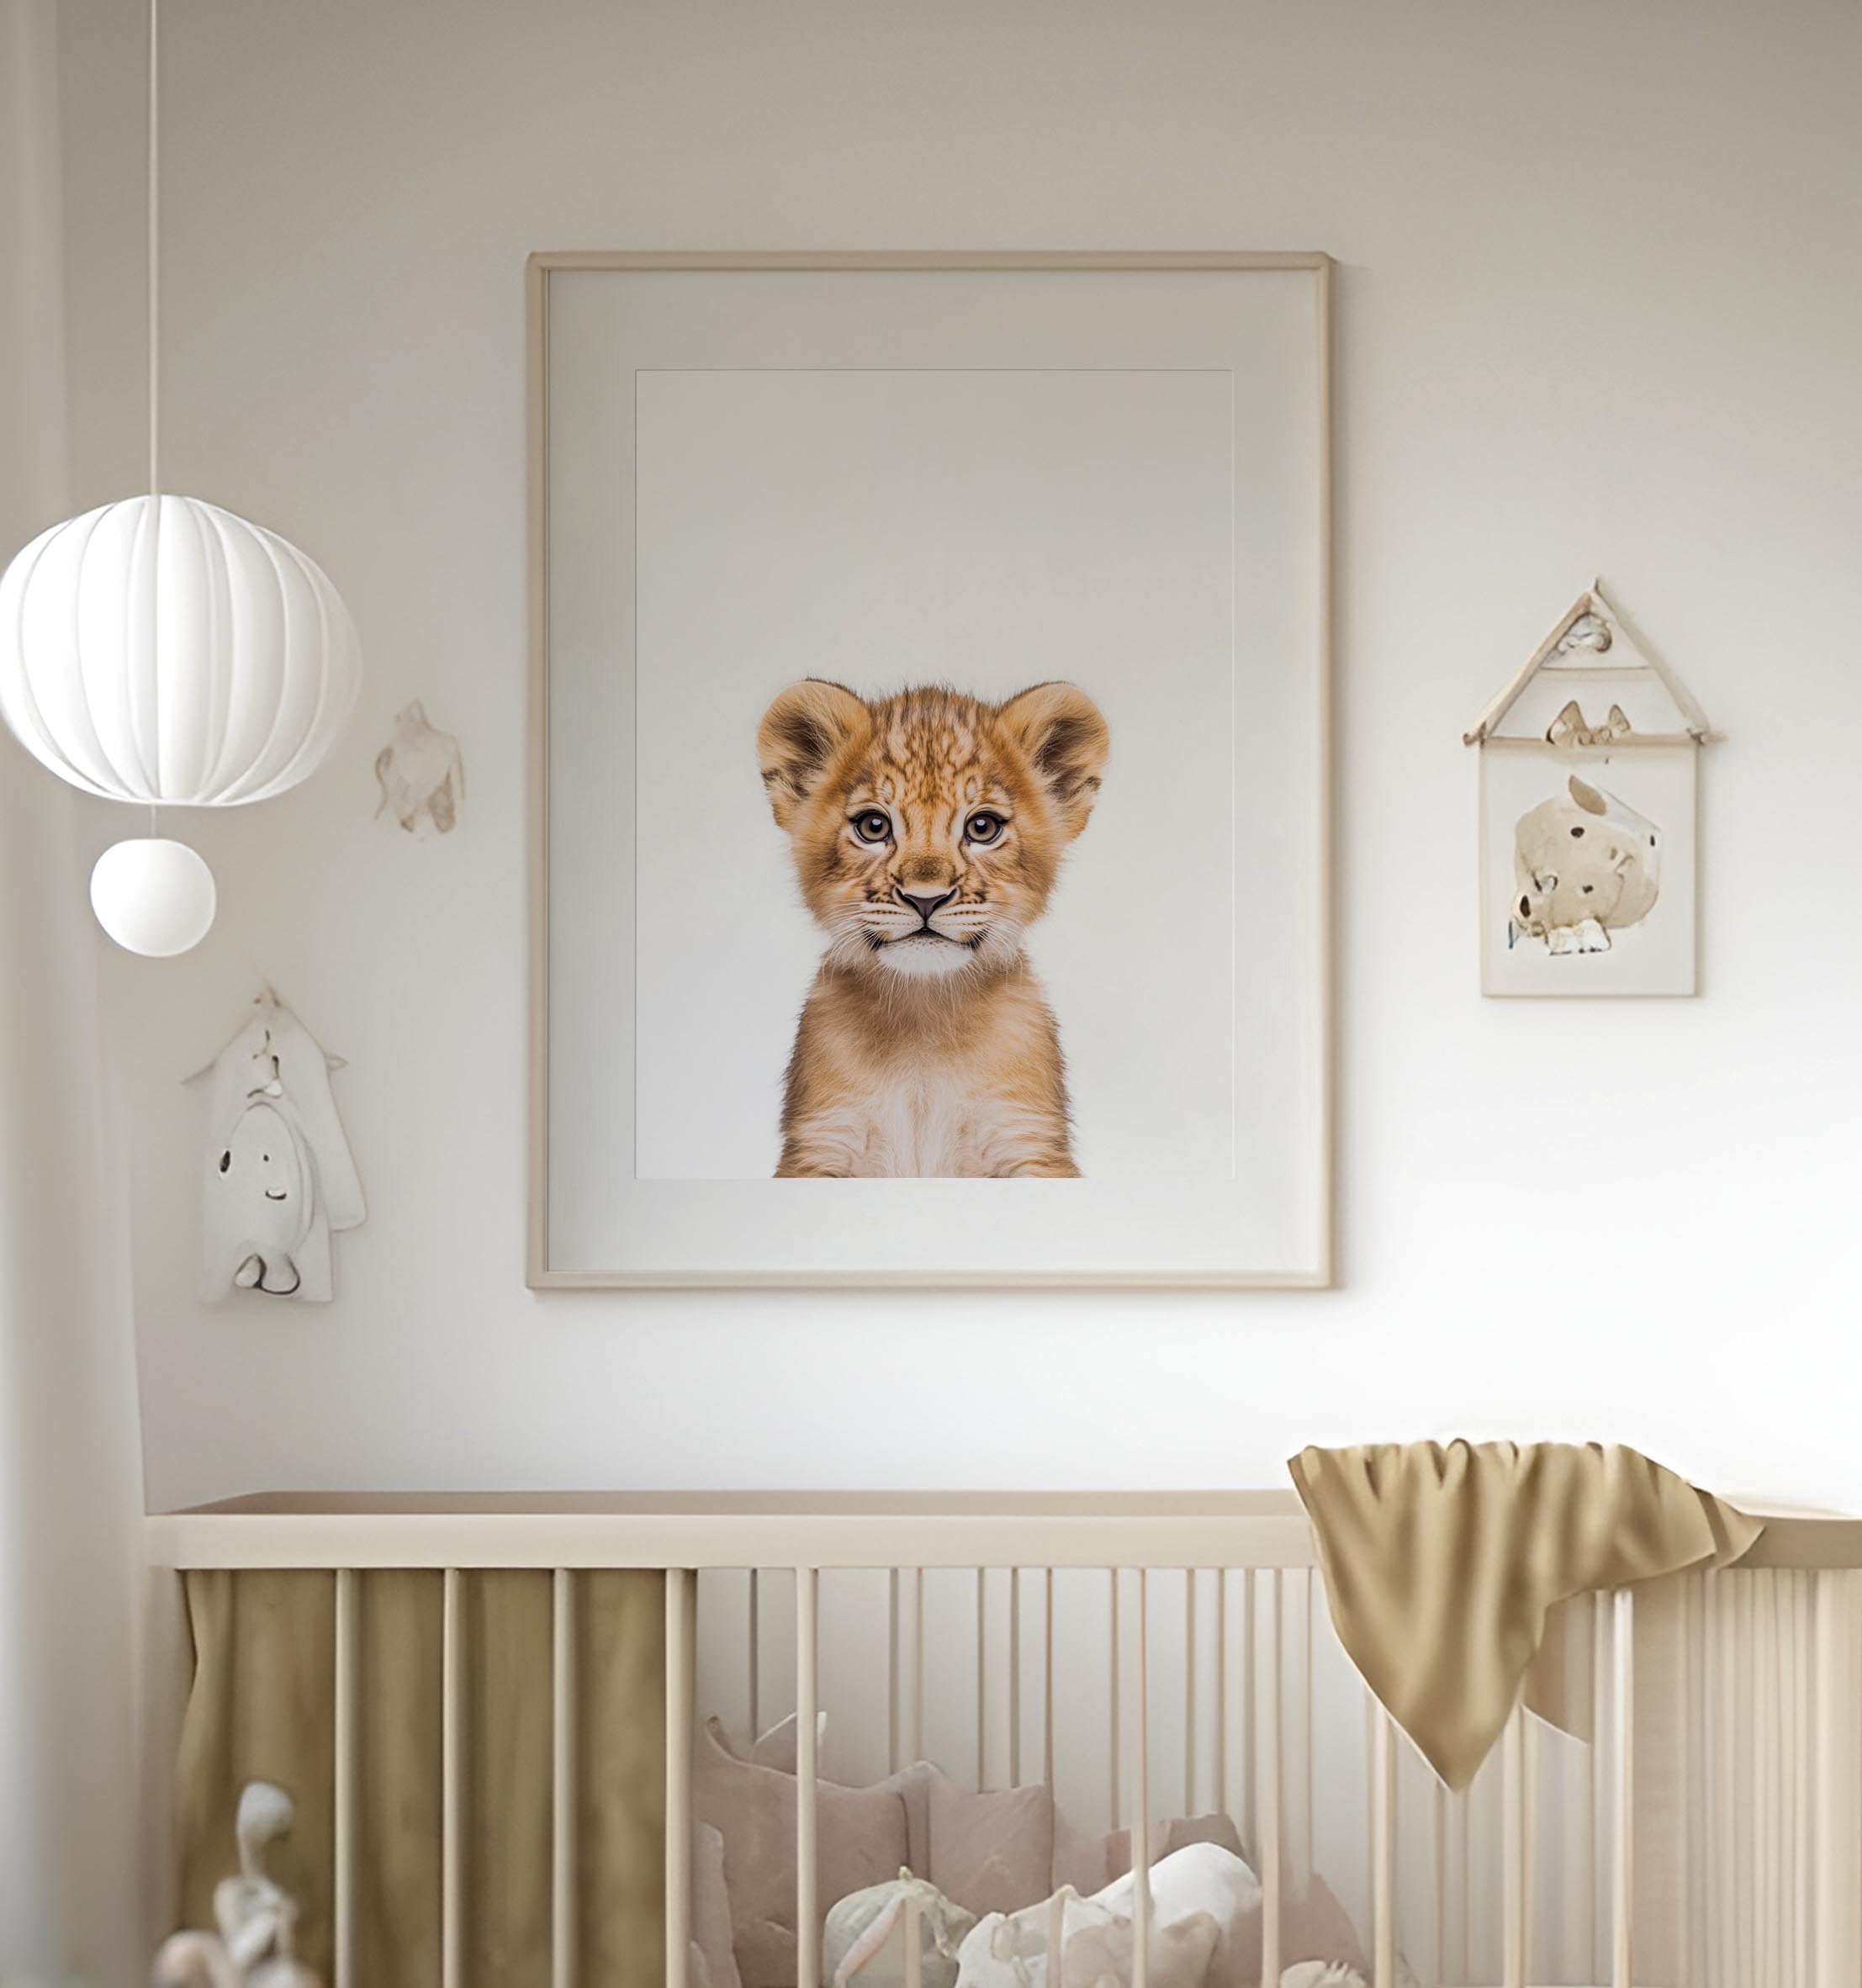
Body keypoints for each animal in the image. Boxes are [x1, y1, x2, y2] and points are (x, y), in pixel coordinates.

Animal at [756, 678, 1109, 1177]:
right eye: (873, 826)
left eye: (982, 827)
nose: (926, 898)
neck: (923, 1010)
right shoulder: (821, 1143)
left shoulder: (1027, 1139)